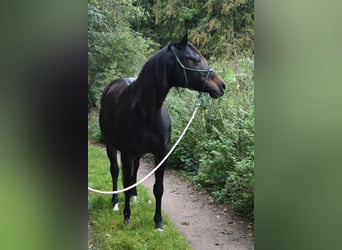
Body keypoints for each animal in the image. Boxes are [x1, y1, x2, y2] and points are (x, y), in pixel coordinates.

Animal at [99, 32, 226, 229]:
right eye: (195, 60)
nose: (221, 86)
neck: (146, 111)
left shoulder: (162, 153)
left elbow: (158, 189)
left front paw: (158, 223)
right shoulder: (126, 154)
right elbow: (125, 182)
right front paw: (127, 218)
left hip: (137, 154)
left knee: (135, 173)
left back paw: (135, 197)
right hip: (110, 146)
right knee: (115, 171)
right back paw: (115, 202)